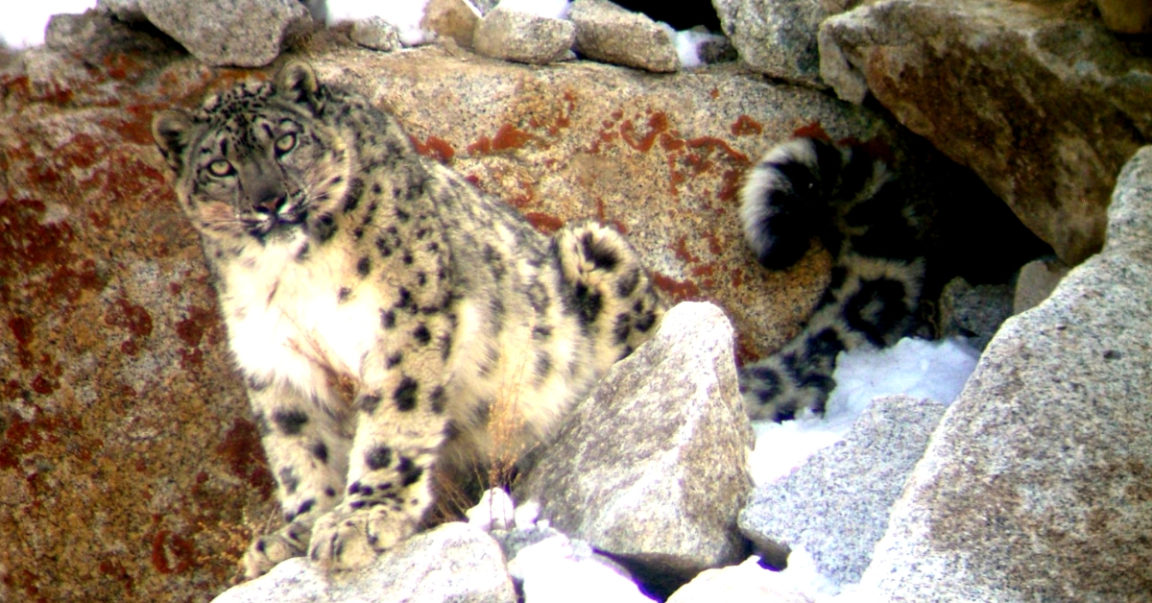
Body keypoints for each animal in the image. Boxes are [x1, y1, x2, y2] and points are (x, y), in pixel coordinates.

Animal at [150, 61, 668, 581]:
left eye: (285, 141)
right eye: (220, 166)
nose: (269, 201)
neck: (295, 274)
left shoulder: (403, 317)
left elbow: (393, 421)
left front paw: (363, 519)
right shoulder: (275, 356)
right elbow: (300, 448)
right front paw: (299, 530)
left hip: (591, 249)